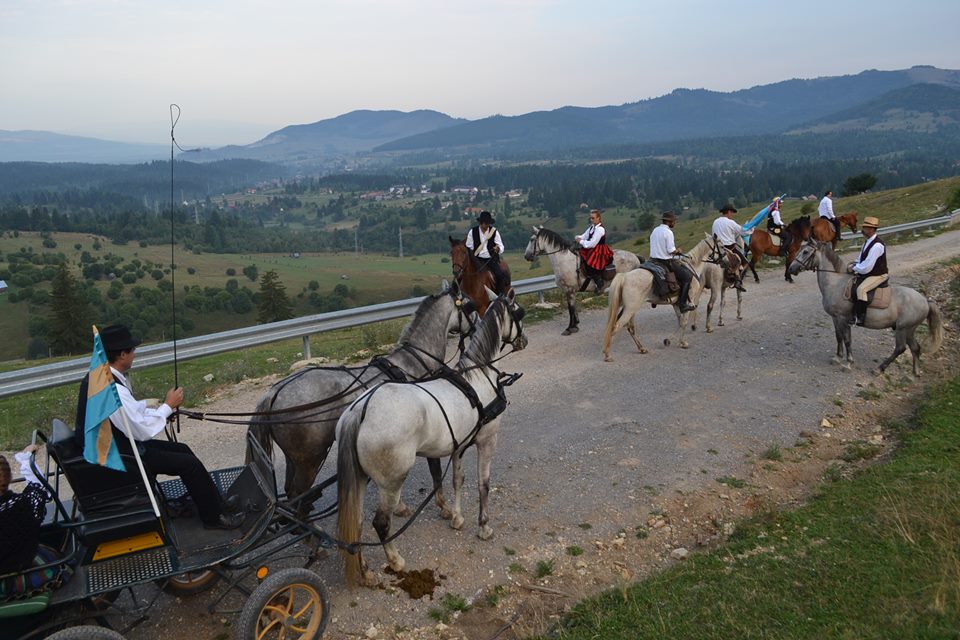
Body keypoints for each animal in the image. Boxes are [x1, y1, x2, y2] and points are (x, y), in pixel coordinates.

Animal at [246, 282, 474, 512]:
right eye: (469, 305)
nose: (475, 328)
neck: (413, 363)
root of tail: (275, 392)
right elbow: (435, 472)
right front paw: (443, 507)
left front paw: (399, 506)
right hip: (308, 461)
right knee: (298, 497)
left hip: (294, 460)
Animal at [338, 292, 528, 588]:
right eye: (519, 313)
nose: (524, 340)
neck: (479, 376)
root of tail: (361, 410)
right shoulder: (487, 441)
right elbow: (483, 484)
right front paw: (484, 526)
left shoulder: (459, 446)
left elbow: (457, 479)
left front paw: (457, 518)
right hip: (392, 482)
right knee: (381, 523)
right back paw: (395, 560)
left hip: (359, 478)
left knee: (355, 523)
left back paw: (366, 571)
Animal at [600, 236, 728, 364]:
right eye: (721, 246)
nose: (725, 262)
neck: (693, 265)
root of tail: (624, 277)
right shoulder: (688, 301)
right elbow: (685, 321)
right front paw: (682, 342)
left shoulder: (676, 303)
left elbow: (680, 321)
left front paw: (669, 340)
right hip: (630, 309)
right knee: (616, 327)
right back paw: (607, 355)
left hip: (628, 309)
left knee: (630, 327)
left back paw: (642, 348)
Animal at [788, 239, 944, 376]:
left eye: (806, 252)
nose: (791, 269)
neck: (836, 283)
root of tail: (925, 300)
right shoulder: (835, 318)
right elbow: (839, 336)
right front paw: (838, 358)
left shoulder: (842, 318)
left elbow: (847, 339)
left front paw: (848, 363)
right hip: (909, 330)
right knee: (915, 348)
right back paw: (914, 373)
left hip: (903, 329)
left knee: (900, 348)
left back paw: (879, 369)